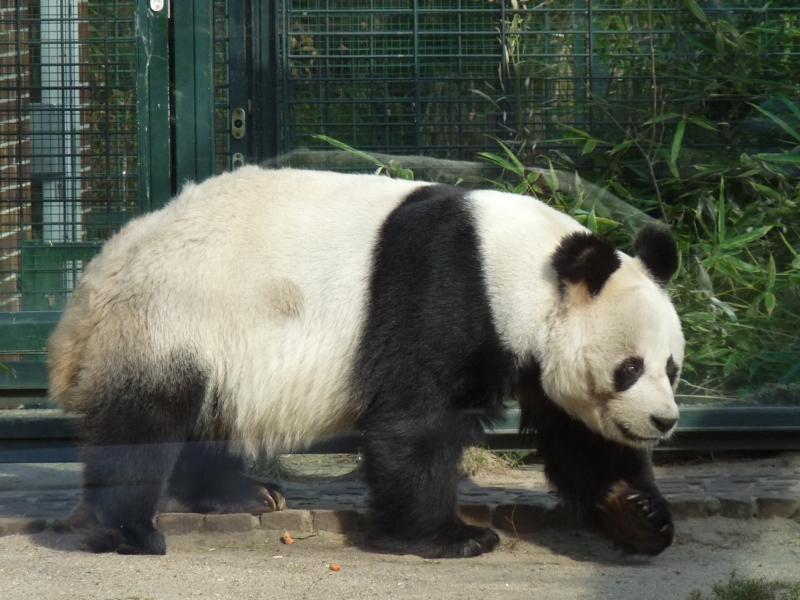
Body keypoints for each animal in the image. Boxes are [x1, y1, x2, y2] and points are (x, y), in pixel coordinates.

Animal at [49, 166, 684, 558]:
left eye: (671, 367)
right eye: (629, 367)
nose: (664, 422)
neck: (529, 268)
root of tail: (97, 275)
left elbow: (578, 432)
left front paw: (637, 513)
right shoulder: (449, 289)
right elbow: (416, 421)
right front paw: (455, 537)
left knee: (205, 417)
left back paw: (245, 495)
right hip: (172, 316)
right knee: (144, 422)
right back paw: (124, 531)